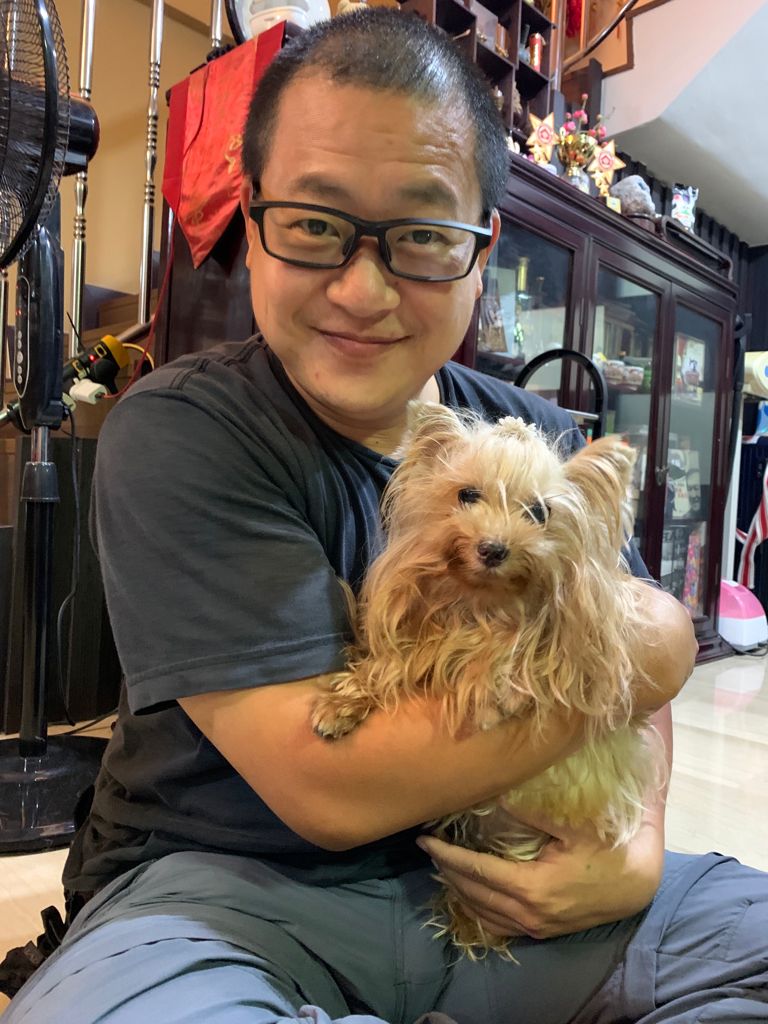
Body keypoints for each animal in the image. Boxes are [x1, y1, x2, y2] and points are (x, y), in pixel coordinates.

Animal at [313, 401, 667, 958]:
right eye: (466, 495)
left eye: (539, 513)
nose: (493, 548)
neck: (478, 601)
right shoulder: (423, 635)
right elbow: (393, 663)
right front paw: (342, 705)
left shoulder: (577, 647)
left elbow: (515, 653)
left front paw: (493, 691)